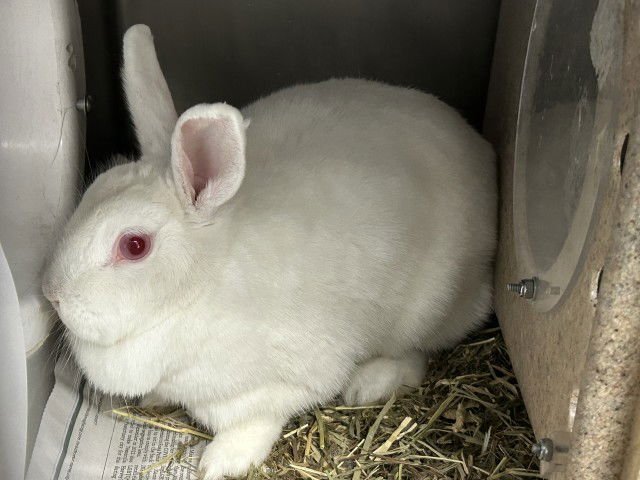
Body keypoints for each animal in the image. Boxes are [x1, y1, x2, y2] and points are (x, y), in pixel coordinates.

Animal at [41, 24, 496, 480]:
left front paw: (220, 462)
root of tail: (483, 156)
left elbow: (256, 423)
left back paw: (367, 383)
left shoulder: (280, 386)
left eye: (134, 245)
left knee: (419, 355)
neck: (199, 286)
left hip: (428, 310)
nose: (52, 295)